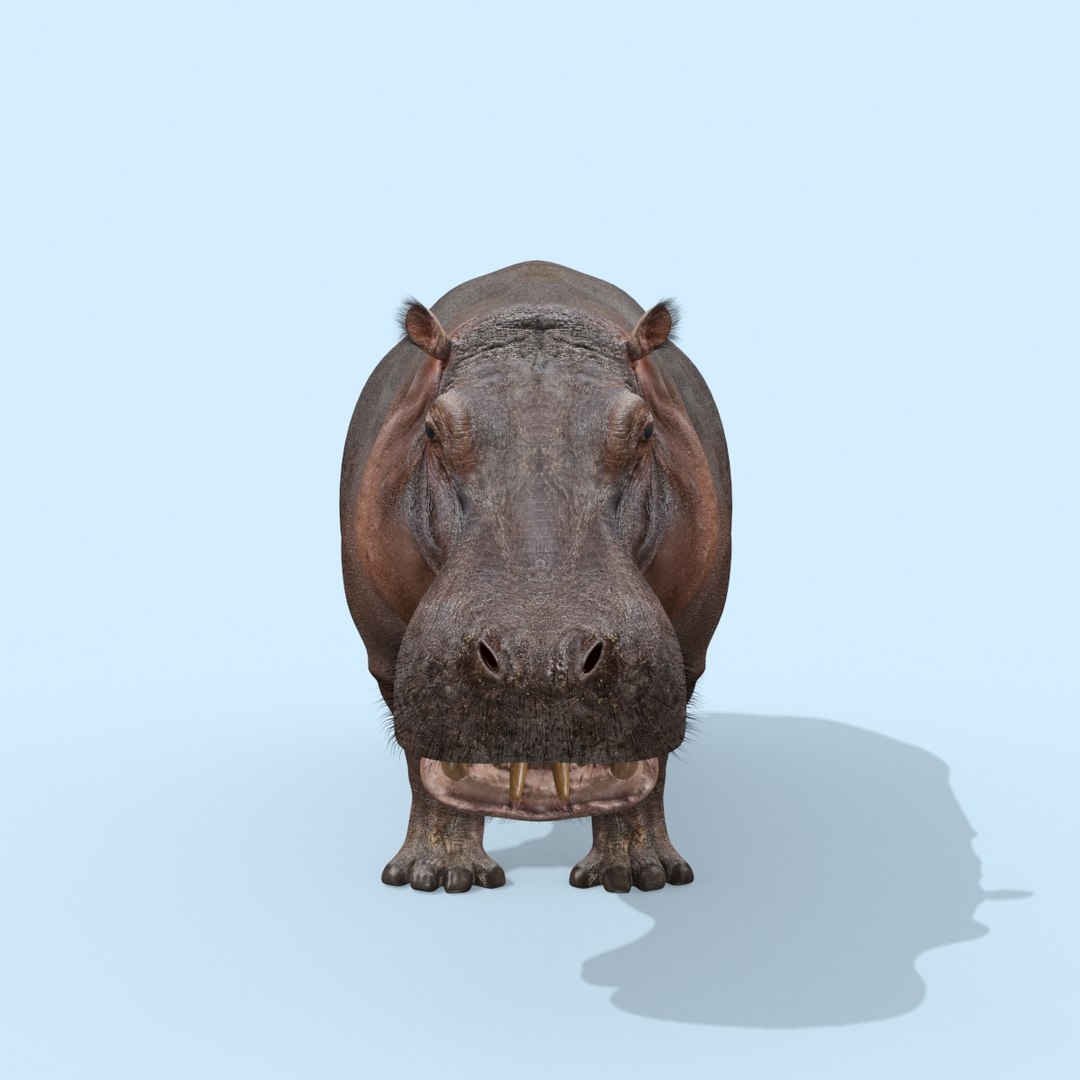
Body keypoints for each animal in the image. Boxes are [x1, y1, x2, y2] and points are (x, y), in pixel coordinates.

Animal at [340, 261, 731, 892]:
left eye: (645, 430)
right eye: (432, 430)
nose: (538, 659)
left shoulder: (689, 647)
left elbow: (647, 757)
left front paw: (638, 873)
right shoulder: (386, 650)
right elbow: (425, 755)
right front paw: (438, 874)